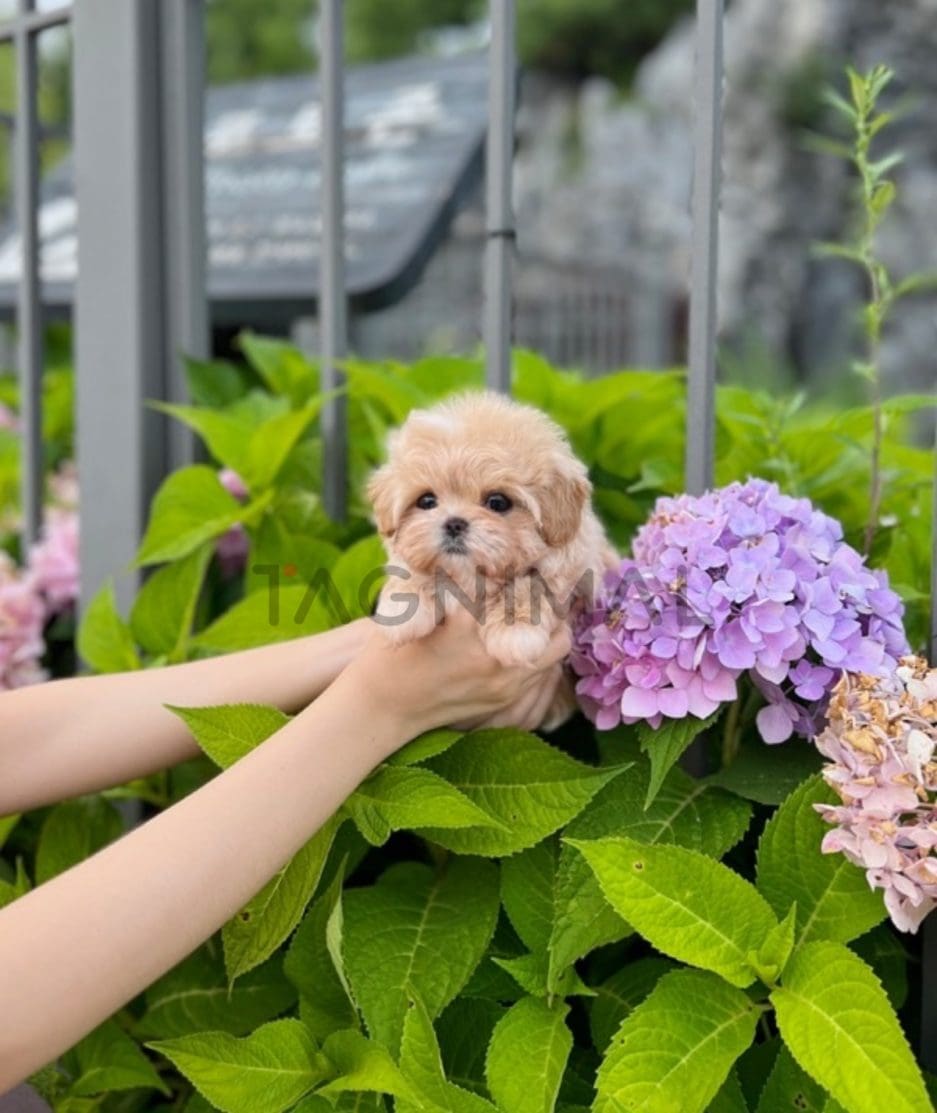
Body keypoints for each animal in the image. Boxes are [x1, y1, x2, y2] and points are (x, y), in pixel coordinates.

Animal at [369, 394, 618, 730]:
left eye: (498, 502)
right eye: (427, 501)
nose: (454, 523)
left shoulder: (572, 570)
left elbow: (530, 584)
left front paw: (516, 629)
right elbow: (413, 570)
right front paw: (401, 608)